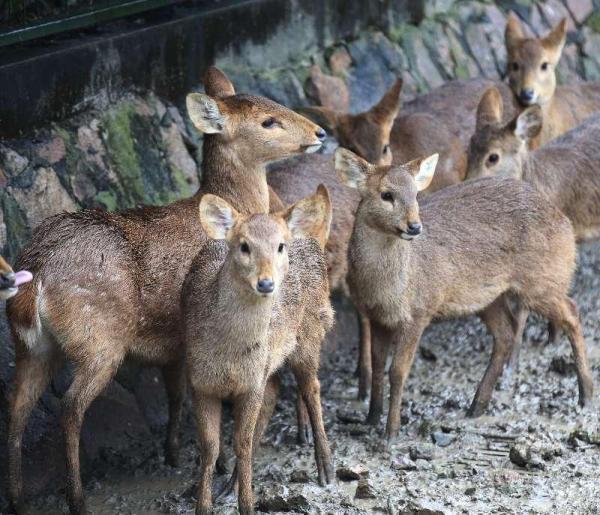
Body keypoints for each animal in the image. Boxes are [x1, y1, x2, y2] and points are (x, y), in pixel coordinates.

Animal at [183, 186, 332, 515]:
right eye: (244, 246)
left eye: (280, 246)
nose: (266, 283)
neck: (228, 355)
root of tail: (314, 240)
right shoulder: (199, 383)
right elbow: (210, 447)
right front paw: (204, 505)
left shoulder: (251, 383)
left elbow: (242, 442)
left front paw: (248, 506)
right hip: (272, 363)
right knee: (275, 391)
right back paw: (229, 486)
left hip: (310, 335)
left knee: (312, 387)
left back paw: (326, 468)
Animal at [336, 146, 592, 440]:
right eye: (386, 194)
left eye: (415, 194)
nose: (414, 226)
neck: (387, 288)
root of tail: (565, 222)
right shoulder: (376, 316)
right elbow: (378, 365)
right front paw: (370, 418)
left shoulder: (419, 312)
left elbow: (398, 371)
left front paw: (392, 432)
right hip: (489, 298)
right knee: (506, 334)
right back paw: (477, 405)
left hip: (541, 281)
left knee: (572, 312)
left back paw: (586, 395)